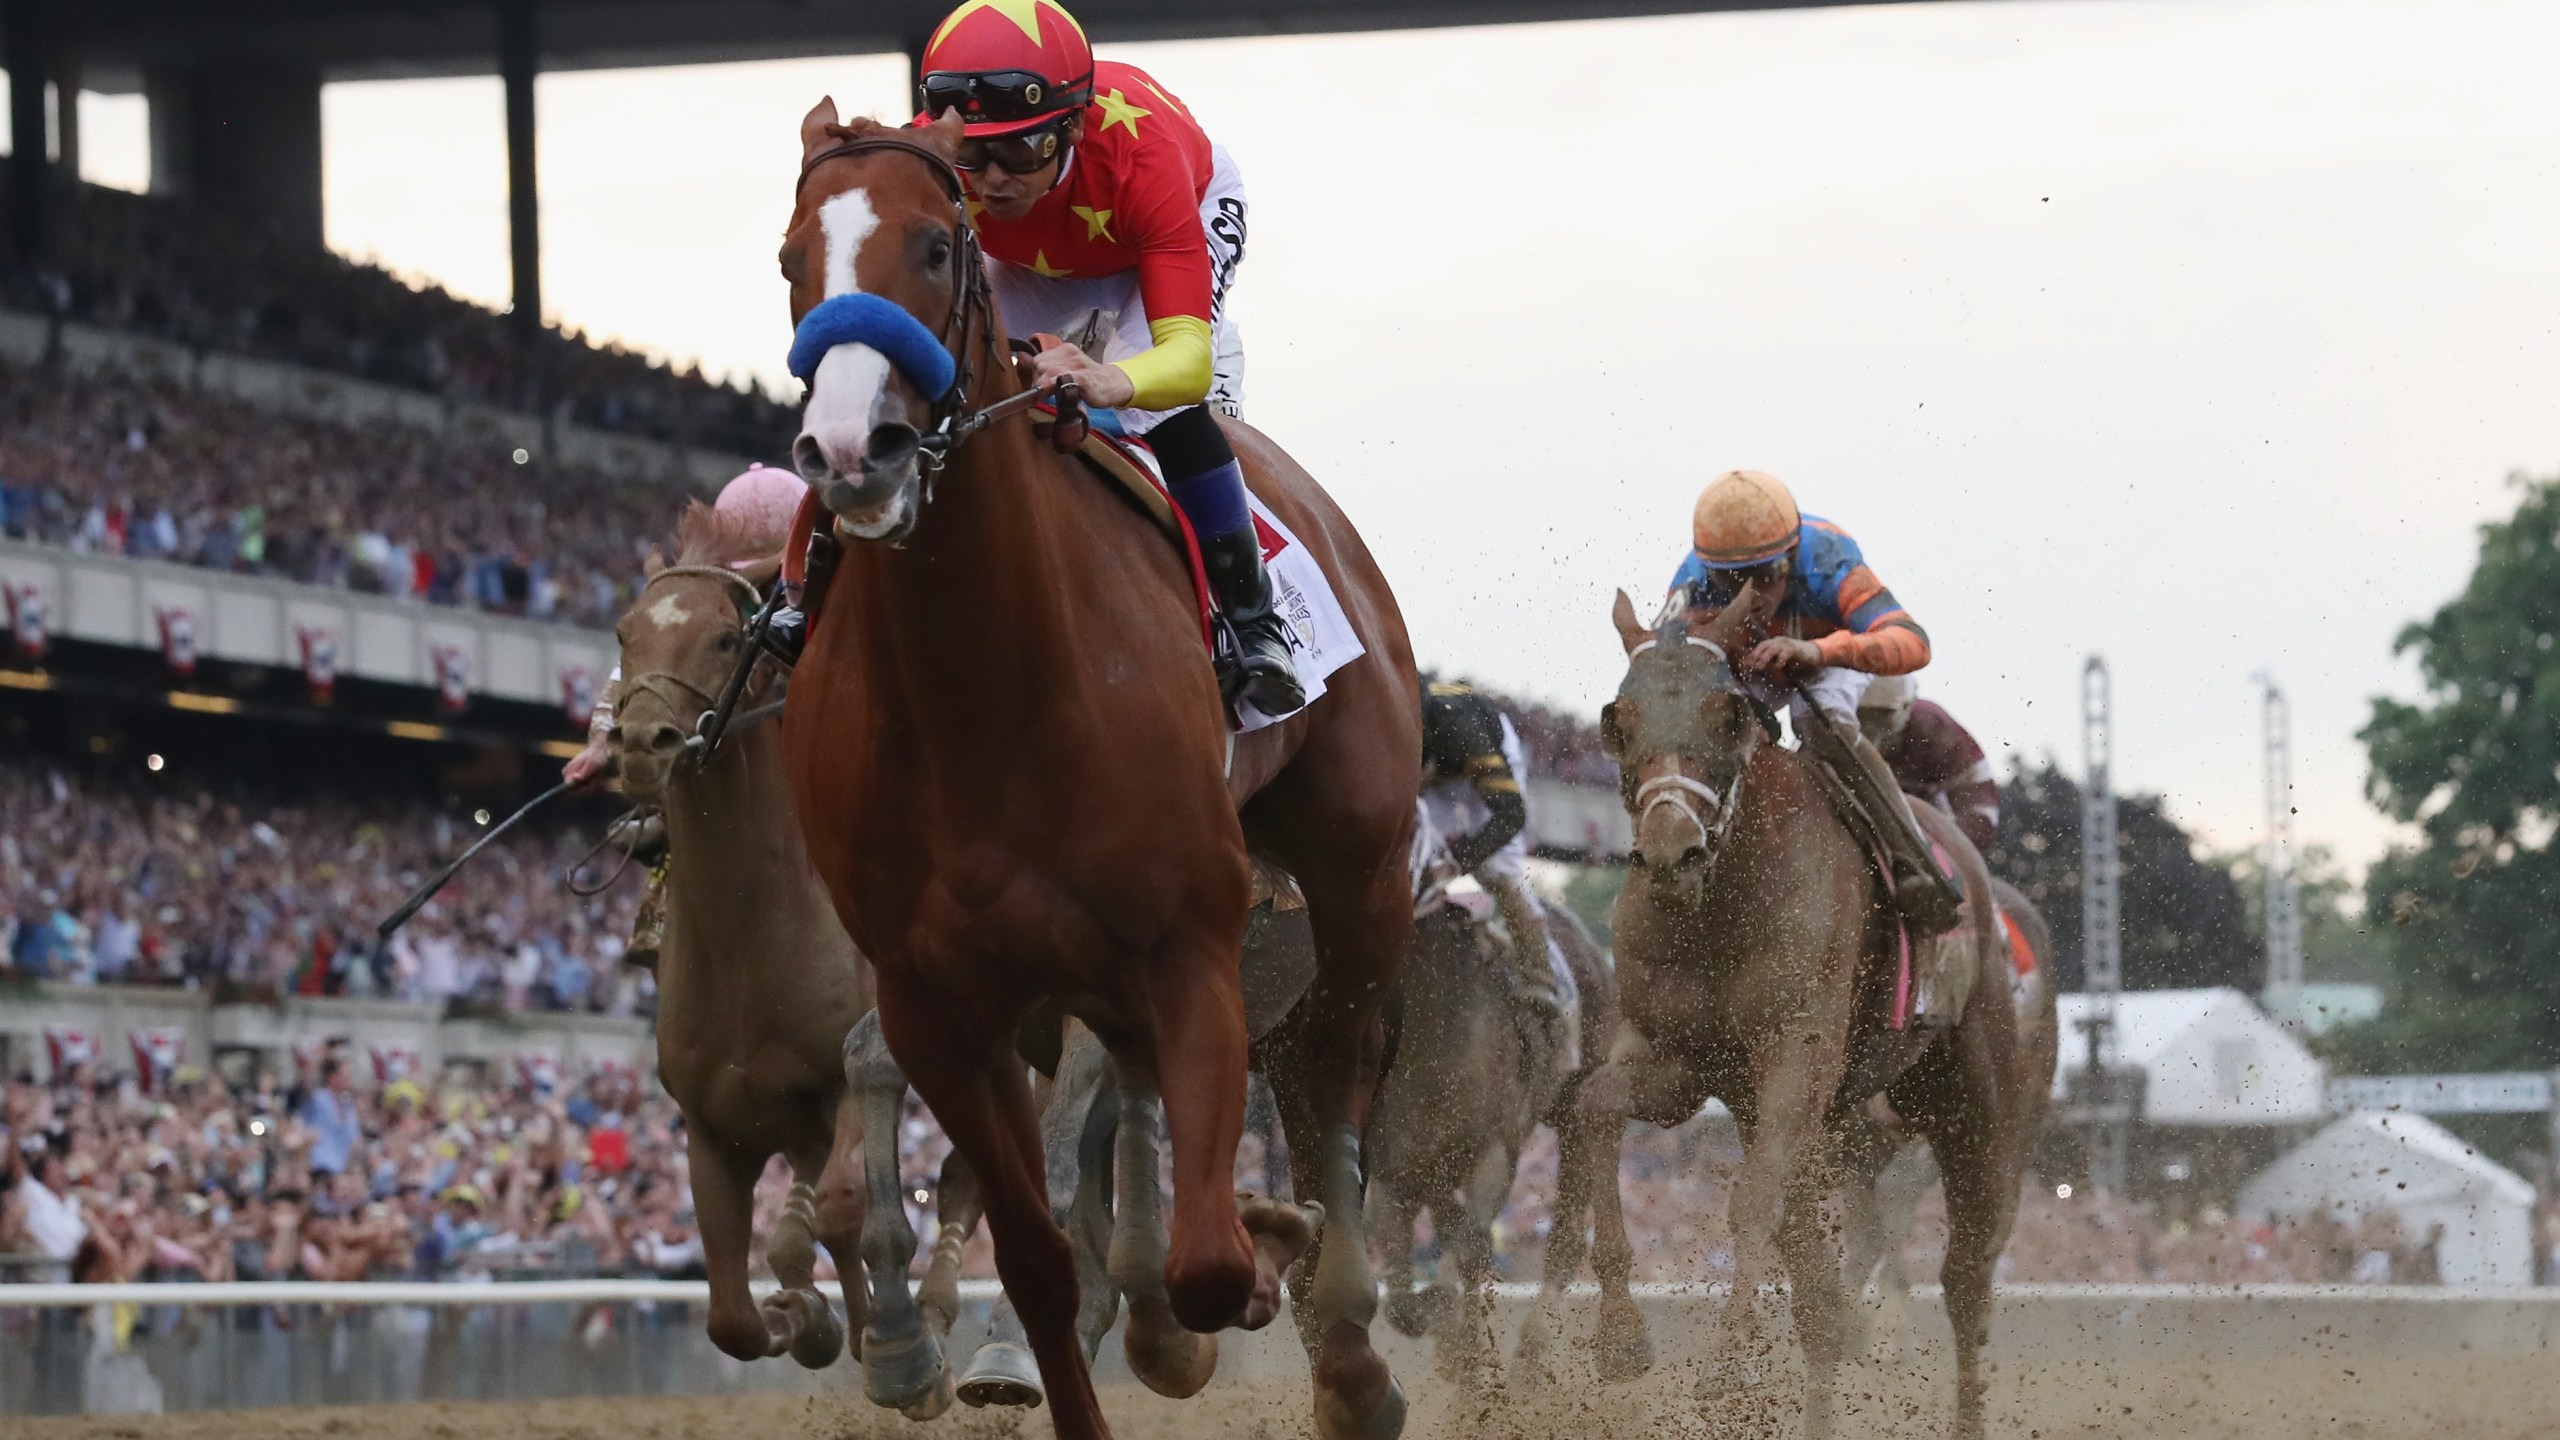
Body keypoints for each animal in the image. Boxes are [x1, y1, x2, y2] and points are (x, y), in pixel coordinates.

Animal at [773, 103, 1423, 1434]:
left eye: (933, 247)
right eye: (788, 262)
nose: (852, 450)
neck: (983, 692)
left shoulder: (1192, 942)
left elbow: (1213, 1258)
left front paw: (1253, 1259)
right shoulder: (937, 1003)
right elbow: (1034, 1262)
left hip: (1361, 870)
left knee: (1336, 1062)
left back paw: (1347, 1348)